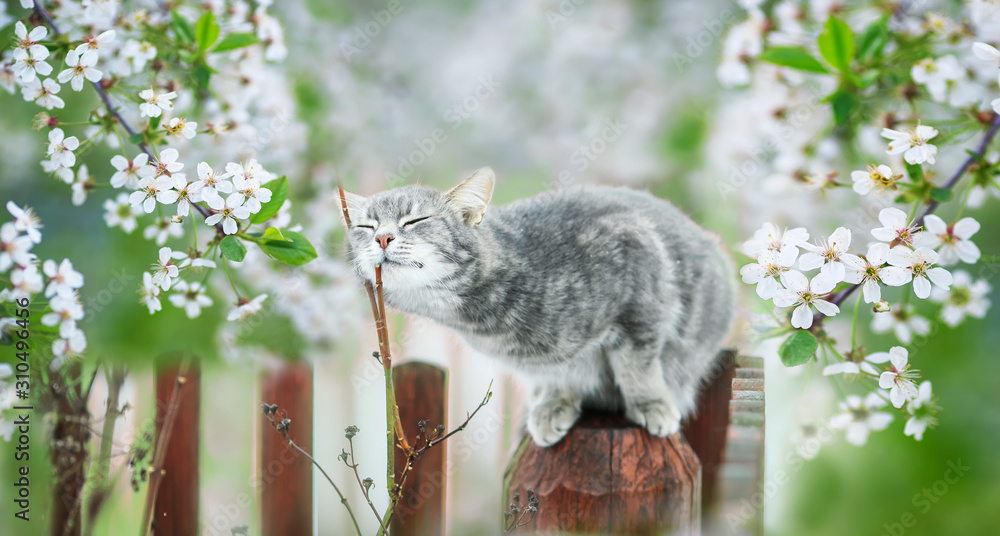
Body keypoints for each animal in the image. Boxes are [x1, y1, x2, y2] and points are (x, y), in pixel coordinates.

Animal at [340, 170, 740, 446]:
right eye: (366, 226)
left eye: (415, 220)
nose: (382, 237)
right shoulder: (543, 362)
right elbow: (558, 374)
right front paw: (553, 403)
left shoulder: (641, 285)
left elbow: (637, 366)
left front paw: (652, 404)